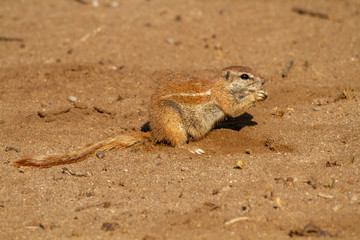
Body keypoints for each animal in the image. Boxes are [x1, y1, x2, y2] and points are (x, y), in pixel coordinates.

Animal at [13, 64, 268, 168]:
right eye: (245, 76)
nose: (264, 80)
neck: (219, 85)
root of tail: (155, 132)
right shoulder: (222, 98)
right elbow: (233, 108)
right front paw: (256, 96)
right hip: (172, 119)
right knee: (177, 144)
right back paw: (192, 148)